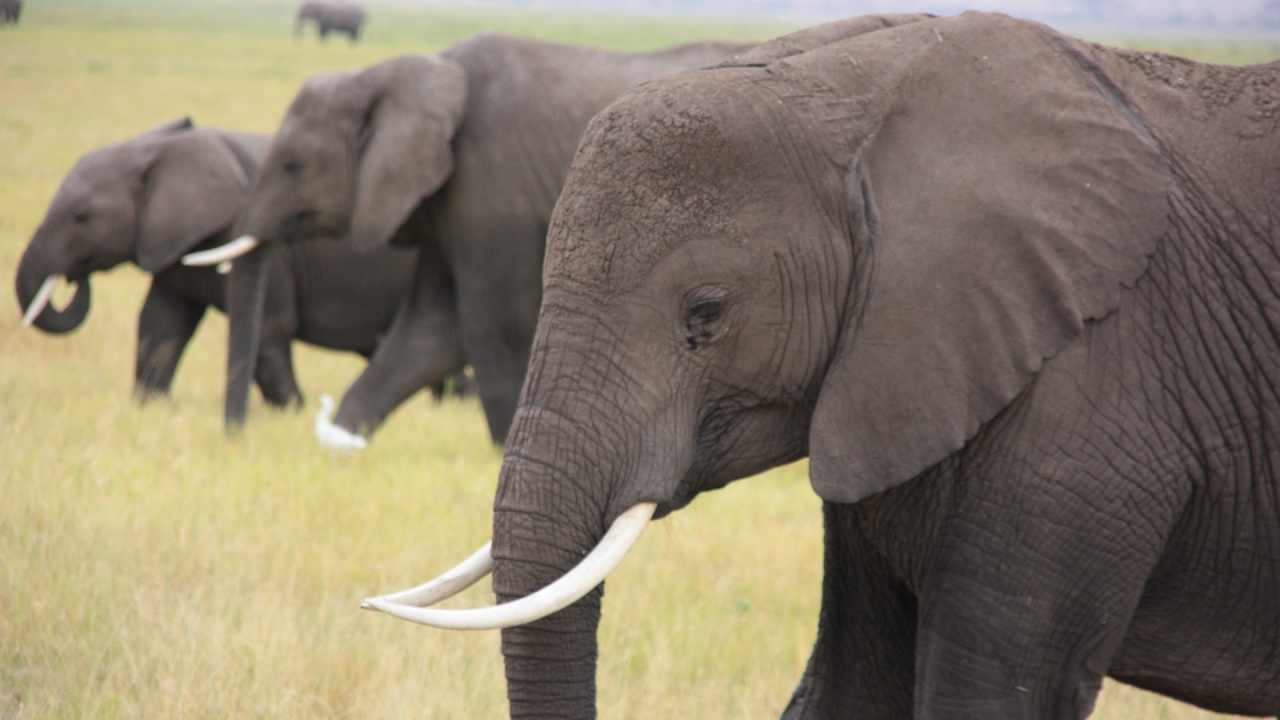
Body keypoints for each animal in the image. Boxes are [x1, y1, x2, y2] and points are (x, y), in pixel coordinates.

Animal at [13, 117, 444, 415]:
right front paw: (150, 408)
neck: (160, 150)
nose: (74, 279)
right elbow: (161, 324)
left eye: (82, 218)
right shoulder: (170, 244)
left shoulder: (265, 249)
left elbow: (269, 329)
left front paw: (293, 415)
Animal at [195, 33, 752, 448]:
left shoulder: (489, 190)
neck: (412, 69)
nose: (236, 439)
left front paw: (503, 449)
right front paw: (343, 439)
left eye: (292, 165)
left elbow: (491, 325)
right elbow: (429, 331)